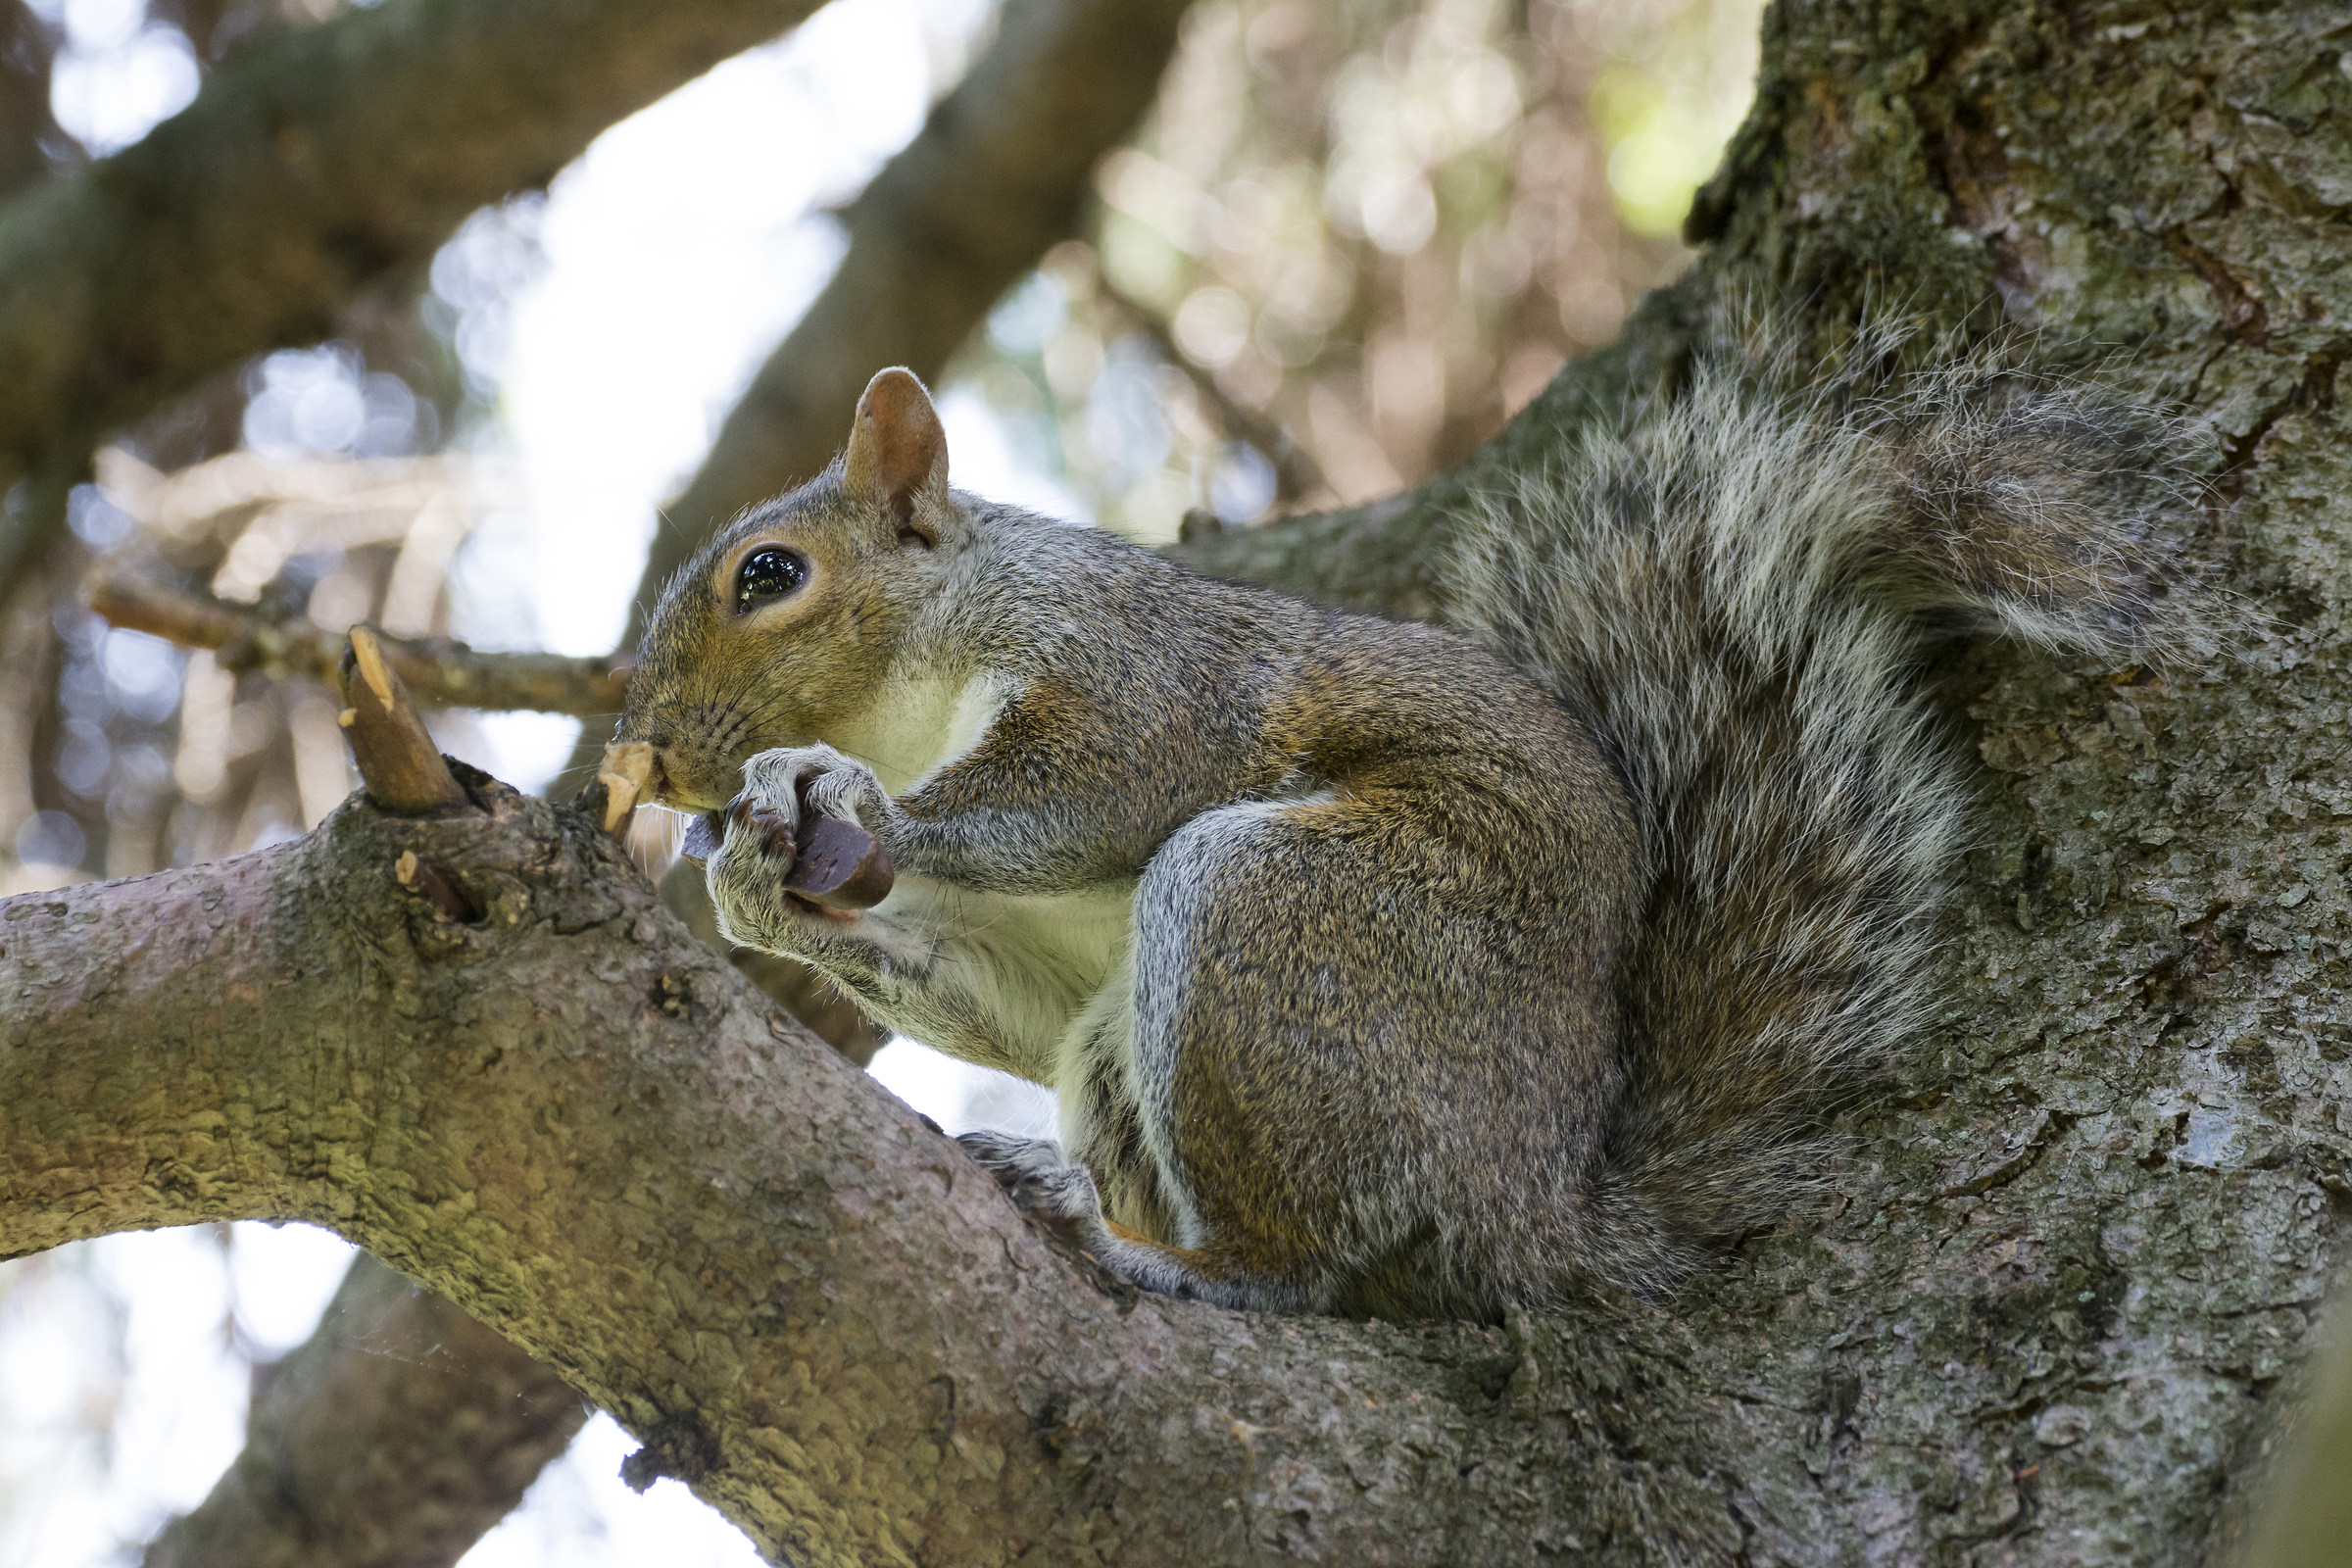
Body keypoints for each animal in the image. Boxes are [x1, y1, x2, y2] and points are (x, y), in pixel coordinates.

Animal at [614, 325, 2205, 1319]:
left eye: (769, 575)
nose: (645, 757)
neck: (922, 684)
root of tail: (1537, 1194)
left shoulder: (1138, 673)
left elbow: (1090, 787)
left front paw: (844, 800)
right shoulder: (1045, 966)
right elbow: (1005, 989)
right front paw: (753, 886)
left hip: (1288, 920)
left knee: (1306, 1259)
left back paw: (1171, 1257)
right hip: (1130, 1042)